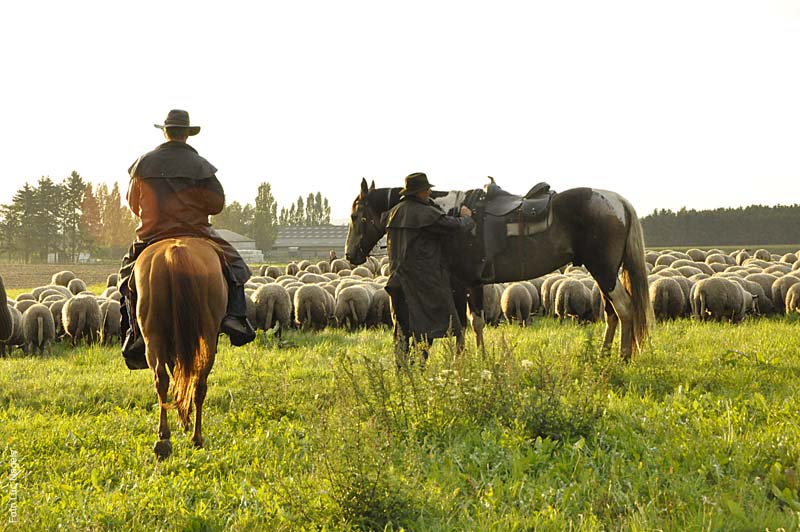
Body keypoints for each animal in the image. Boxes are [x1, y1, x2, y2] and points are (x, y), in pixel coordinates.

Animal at [134, 236, 227, 458]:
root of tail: (174, 251)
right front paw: (184, 418)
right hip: (207, 335)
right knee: (198, 382)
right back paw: (196, 437)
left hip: (153, 335)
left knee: (162, 379)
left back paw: (164, 437)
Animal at [344, 181, 648, 360]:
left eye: (356, 215)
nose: (350, 254)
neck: (446, 214)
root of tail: (617, 202)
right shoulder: (474, 284)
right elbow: (476, 323)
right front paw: (481, 360)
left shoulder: (457, 283)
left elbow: (459, 325)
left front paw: (460, 364)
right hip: (602, 273)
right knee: (611, 313)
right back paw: (604, 354)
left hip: (604, 271)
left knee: (624, 309)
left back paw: (622, 357)